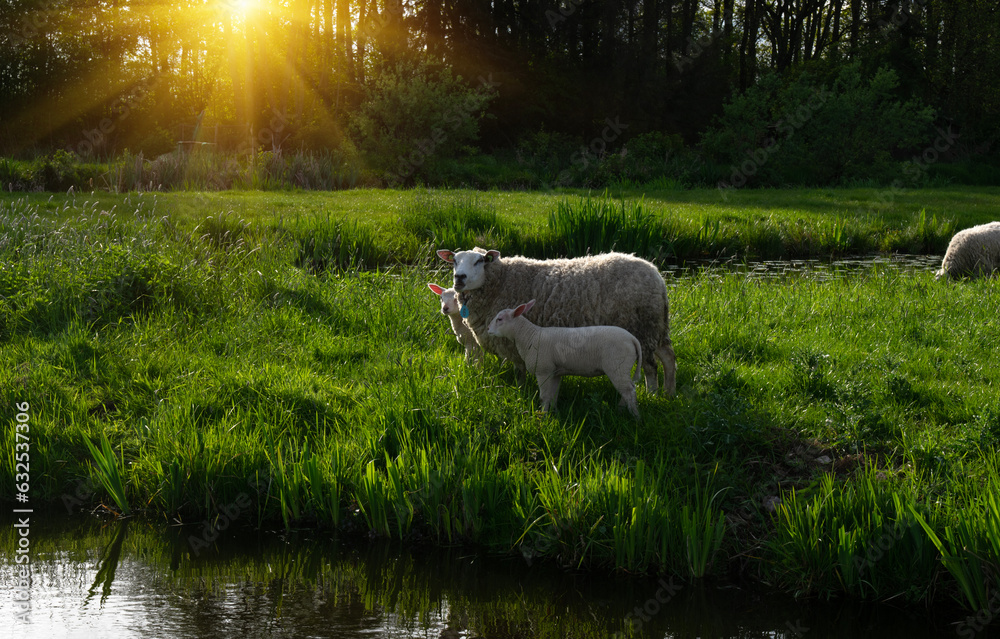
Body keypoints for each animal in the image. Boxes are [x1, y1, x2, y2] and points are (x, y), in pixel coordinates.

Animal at [434, 248, 676, 398]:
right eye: (454, 261)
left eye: (480, 260)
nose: (459, 278)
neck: (500, 281)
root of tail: (656, 275)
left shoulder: (515, 341)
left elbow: (520, 371)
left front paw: (522, 391)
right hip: (657, 326)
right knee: (668, 357)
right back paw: (669, 393)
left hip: (642, 327)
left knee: (651, 367)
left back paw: (652, 394)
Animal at [490, 300, 644, 420]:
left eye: (499, 319)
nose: (488, 330)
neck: (529, 336)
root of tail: (632, 339)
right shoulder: (555, 372)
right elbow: (553, 396)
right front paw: (554, 413)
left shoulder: (543, 370)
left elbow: (544, 397)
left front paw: (542, 416)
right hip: (621, 367)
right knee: (627, 390)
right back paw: (621, 411)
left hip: (617, 366)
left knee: (629, 391)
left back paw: (636, 417)